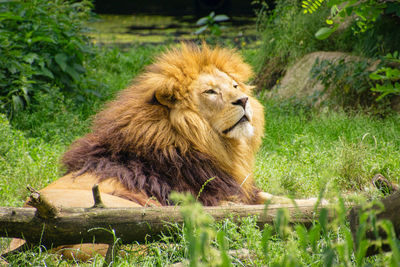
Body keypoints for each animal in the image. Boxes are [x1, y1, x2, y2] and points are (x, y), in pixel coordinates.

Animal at [7, 44, 316, 262]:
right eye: (211, 92)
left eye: (235, 86)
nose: (244, 100)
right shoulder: (216, 198)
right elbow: (260, 211)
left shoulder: (239, 190)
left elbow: (283, 200)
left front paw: (322, 203)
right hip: (125, 209)